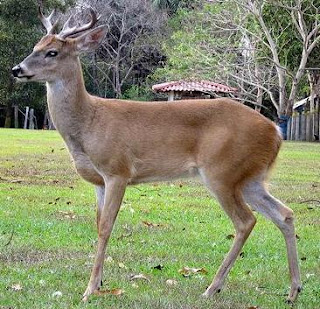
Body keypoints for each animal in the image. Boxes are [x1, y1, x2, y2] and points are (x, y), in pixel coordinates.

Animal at [12, 7, 302, 304]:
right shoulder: (98, 181)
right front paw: (99, 282)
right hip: (249, 177)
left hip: (222, 170)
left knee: (246, 221)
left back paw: (212, 287)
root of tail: (276, 132)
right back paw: (293, 290)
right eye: (35, 47)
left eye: (53, 52)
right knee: (285, 214)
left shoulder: (118, 170)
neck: (88, 123)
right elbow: (97, 224)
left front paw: (90, 289)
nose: (17, 69)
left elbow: (106, 227)